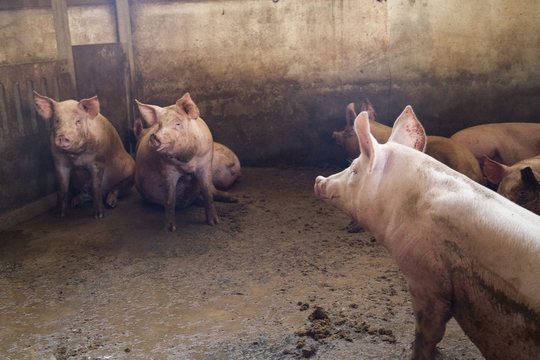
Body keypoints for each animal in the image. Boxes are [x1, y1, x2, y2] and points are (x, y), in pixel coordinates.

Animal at [133, 94, 234, 232]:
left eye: (178, 123)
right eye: (159, 125)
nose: (154, 137)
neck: (186, 162)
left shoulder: (205, 163)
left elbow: (208, 194)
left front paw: (214, 223)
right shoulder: (168, 170)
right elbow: (170, 199)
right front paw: (169, 229)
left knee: (214, 192)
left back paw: (233, 199)